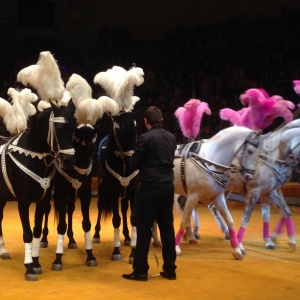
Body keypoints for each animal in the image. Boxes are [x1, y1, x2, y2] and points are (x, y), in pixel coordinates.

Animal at [0, 102, 76, 280]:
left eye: (73, 129)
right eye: (60, 128)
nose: (69, 160)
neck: (32, 157)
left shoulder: (42, 201)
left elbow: (36, 230)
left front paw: (36, 263)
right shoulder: (23, 202)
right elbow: (27, 233)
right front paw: (29, 268)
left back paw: (3, 251)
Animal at [92, 110, 139, 262]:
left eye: (135, 131)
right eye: (121, 133)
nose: (132, 159)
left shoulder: (133, 190)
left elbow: (133, 218)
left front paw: (133, 253)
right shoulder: (112, 190)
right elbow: (116, 219)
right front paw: (116, 251)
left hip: (125, 193)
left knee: (124, 209)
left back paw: (128, 237)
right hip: (102, 188)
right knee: (101, 206)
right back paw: (96, 234)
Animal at [173, 125, 262, 258]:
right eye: (250, 151)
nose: (249, 176)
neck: (210, 159)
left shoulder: (218, 197)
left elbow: (229, 220)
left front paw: (236, 249)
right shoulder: (193, 196)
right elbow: (183, 221)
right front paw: (176, 248)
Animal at [207, 119, 300, 253]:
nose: (293, 161)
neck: (271, 158)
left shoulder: (270, 192)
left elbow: (279, 212)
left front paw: (277, 241)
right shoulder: (254, 192)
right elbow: (246, 217)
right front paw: (240, 245)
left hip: (225, 189)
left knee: (213, 207)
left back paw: (226, 233)